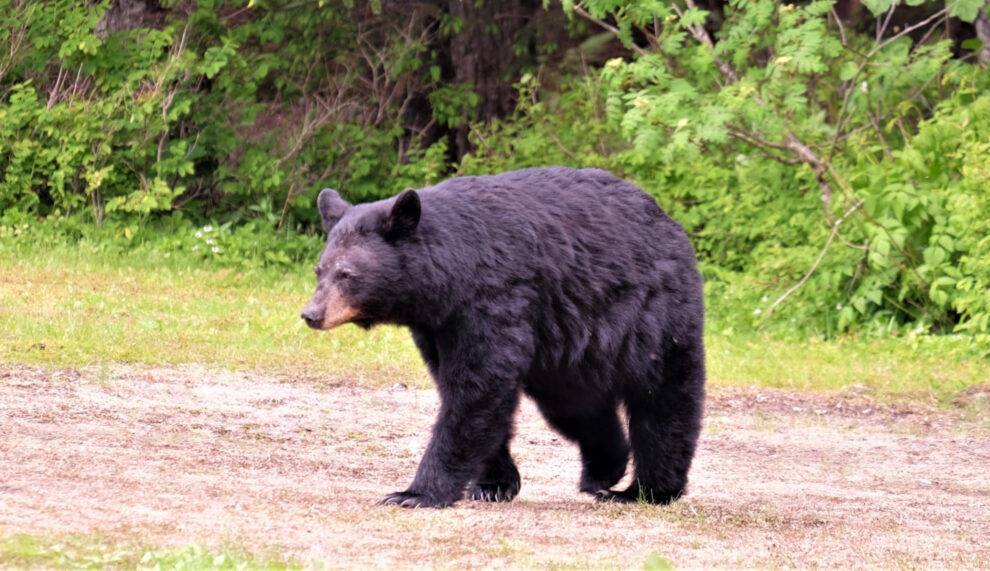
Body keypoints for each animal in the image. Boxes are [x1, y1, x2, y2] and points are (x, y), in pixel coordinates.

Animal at [301, 166, 705, 508]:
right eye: (319, 269)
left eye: (347, 274)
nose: (311, 314)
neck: (450, 277)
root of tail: (669, 222)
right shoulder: (437, 325)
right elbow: (463, 389)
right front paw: (493, 484)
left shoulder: (493, 298)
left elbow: (478, 387)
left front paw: (414, 493)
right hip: (567, 352)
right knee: (577, 407)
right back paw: (603, 470)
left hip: (653, 316)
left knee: (663, 398)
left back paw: (647, 490)